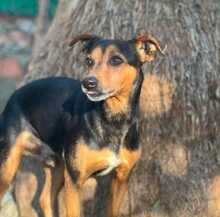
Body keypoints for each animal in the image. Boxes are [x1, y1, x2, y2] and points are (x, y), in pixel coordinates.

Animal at [0, 33, 164, 216]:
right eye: (89, 61)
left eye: (116, 60)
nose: (88, 83)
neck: (113, 119)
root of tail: (15, 93)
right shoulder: (74, 181)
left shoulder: (122, 178)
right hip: (9, 163)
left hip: (57, 165)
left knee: (45, 199)